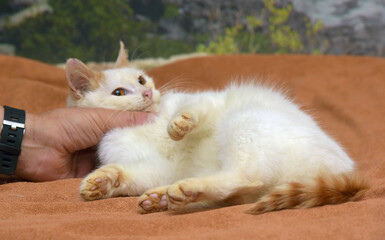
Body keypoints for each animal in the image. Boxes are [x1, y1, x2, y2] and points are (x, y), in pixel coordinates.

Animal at [65, 42, 366, 215]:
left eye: (141, 79)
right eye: (119, 92)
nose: (148, 93)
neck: (145, 123)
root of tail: (343, 170)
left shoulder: (204, 101)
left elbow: (193, 109)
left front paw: (178, 124)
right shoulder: (154, 167)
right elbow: (127, 173)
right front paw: (101, 182)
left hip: (244, 121)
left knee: (245, 176)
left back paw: (184, 190)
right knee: (239, 190)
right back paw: (164, 198)